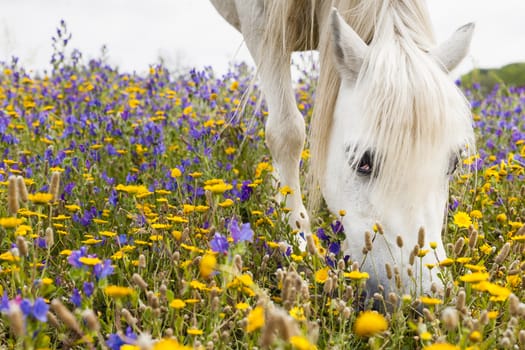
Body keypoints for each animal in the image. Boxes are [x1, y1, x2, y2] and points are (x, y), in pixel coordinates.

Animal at [210, 0, 474, 298]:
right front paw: (297, 241)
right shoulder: (262, 24)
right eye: (364, 162)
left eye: (454, 163)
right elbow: (287, 131)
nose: (424, 296)